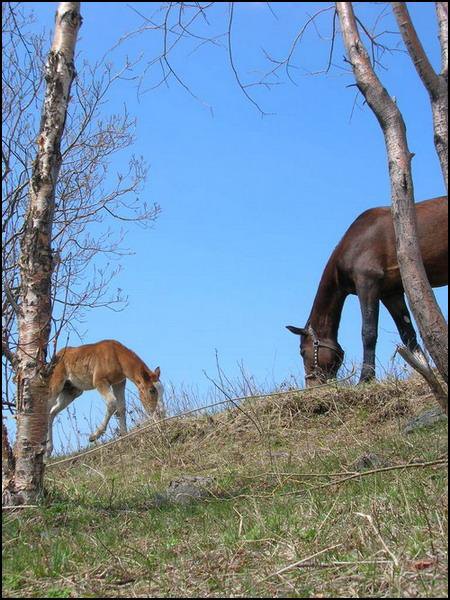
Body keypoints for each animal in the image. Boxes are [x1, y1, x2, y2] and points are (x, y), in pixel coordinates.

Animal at [286, 195, 448, 386]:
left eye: (302, 351)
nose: (312, 385)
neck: (355, 243)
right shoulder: (391, 294)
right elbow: (407, 334)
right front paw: (425, 370)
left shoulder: (367, 283)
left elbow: (368, 332)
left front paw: (366, 378)